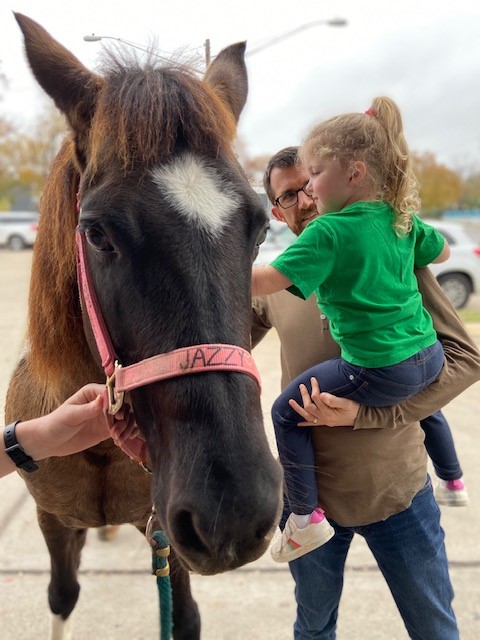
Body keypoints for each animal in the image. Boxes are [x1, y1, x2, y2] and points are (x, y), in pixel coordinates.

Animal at [5, 13, 282, 639]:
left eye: (260, 227)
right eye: (96, 232)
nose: (234, 511)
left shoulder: (166, 533)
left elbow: (185, 616)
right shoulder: (52, 519)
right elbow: (62, 595)